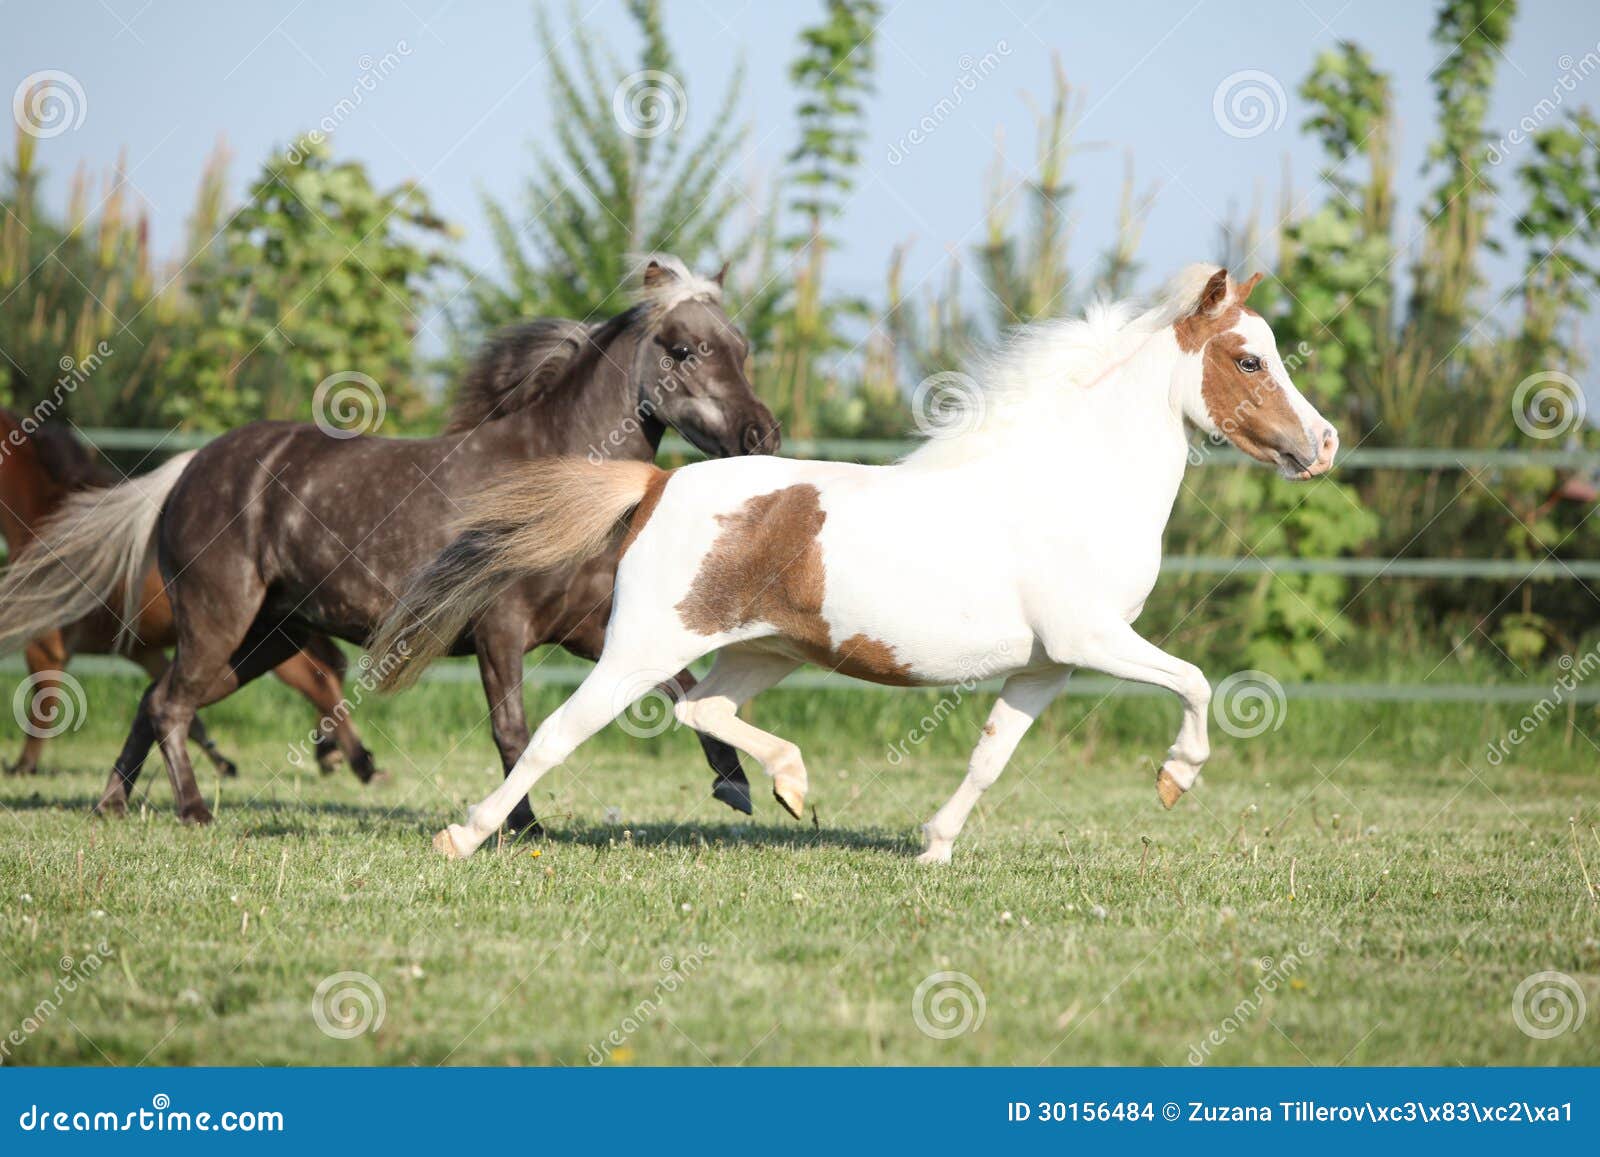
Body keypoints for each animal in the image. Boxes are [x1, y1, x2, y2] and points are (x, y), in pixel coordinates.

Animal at [0, 407, 375, 779]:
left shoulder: (47, 648)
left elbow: (43, 707)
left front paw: (23, 767)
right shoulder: (143, 651)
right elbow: (180, 710)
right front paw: (222, 763)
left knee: (318, 678)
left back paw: (357, 761)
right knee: (331, 668)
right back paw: (333, 754)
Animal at [371, 266, 1341, 862]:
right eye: (1249, 358)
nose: (1323, 444)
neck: (1071, 484)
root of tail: (654, 483)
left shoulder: (1047, 666)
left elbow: (992, 756)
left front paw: (934, 845)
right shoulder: (1095, 639)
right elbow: (1197, 683)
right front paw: (1177, 779)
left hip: (757, 650)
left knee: (705, 711)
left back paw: (793, 786)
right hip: (641, 648)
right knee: (556, 734)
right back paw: (463, 836)